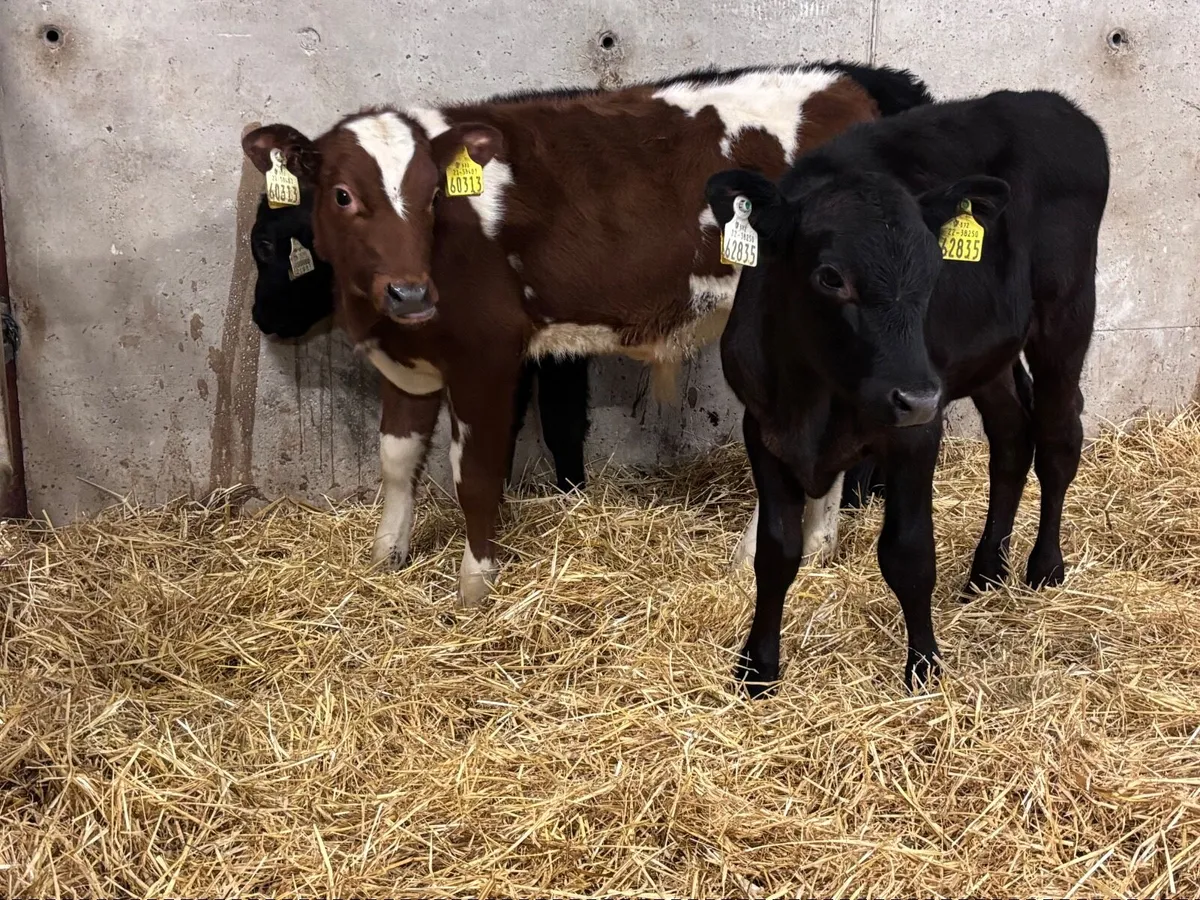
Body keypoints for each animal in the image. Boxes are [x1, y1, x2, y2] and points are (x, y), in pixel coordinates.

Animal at [705, 88, 1109, 693]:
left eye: (935, 268)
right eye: (830, 277)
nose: (914, 395)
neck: (814, 399)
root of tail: (1053, 103)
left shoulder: (917, 432)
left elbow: (909, 554)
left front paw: (923, 667)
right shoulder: (764, 426)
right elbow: (775, 553)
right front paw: (757, 668)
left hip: (1065, 314)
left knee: (1059, 437)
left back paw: (1044, 567)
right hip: (983, 356)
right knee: (1012, 438)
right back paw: (987, 570)